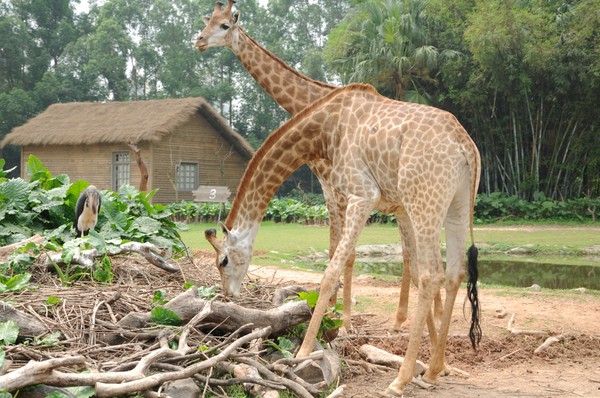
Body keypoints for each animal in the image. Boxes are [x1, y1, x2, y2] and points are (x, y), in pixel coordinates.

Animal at [195, 0, 442, 330]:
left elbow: (345, 252)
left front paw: (345, 319)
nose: (198, 41)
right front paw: (333, 310)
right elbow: (335, 248)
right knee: (416, 252)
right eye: (207, 22)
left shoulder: (336, 188)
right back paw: (408, 317)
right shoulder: (330, 187)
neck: (311, 100)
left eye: (224, 26)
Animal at [204, 83, 480, 394]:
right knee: (454, 272)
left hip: (423, 200)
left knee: (433, 274)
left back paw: (400, 380)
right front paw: (439, 364)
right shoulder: (394, 204)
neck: (326, 130)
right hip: (457, 203)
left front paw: (303, 352)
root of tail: (465, 145)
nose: (228, 295)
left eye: (223, 261)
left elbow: (331, 271)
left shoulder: (362, 194)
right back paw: (432, 370)